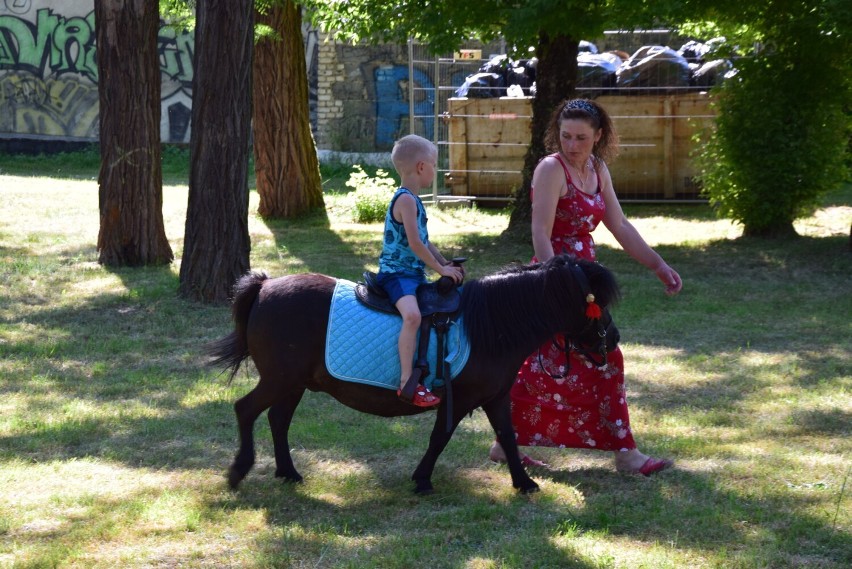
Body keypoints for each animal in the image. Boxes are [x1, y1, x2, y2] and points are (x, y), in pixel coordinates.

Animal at [206, 255, 620, 494]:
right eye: (597, 303)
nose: (612, 338)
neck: (490, 325)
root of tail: (265, 286)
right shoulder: (460, 397)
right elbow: (440, 437)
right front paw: (422, 478)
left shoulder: (496, 397)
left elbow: (508, 435)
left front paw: (523, 482)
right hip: (279, 379)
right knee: (246, 410)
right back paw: (239, 471)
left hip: (294, 383)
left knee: (278, 419)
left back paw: (288, 472)